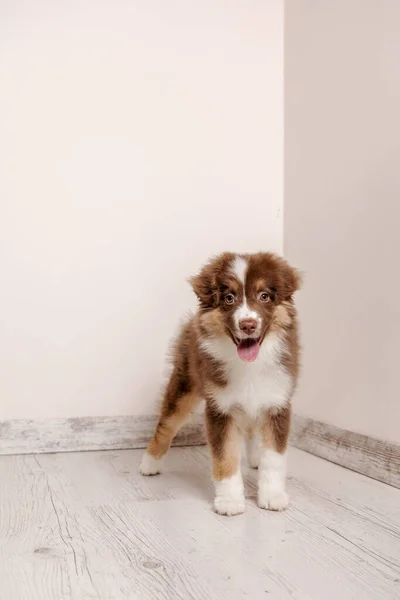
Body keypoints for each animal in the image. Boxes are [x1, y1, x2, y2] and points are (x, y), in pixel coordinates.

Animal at [141, 252, 300, 516]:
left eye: (264, 296)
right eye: (229, 298)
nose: (248, 325)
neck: (250, 365)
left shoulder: (277, 403)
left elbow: (274, 458)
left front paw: (273, 496)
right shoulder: (220, 408)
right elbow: (225, 456)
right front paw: (229, 501)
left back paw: (254, 458)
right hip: (185, 384)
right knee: (166, 425)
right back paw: (149, 463)